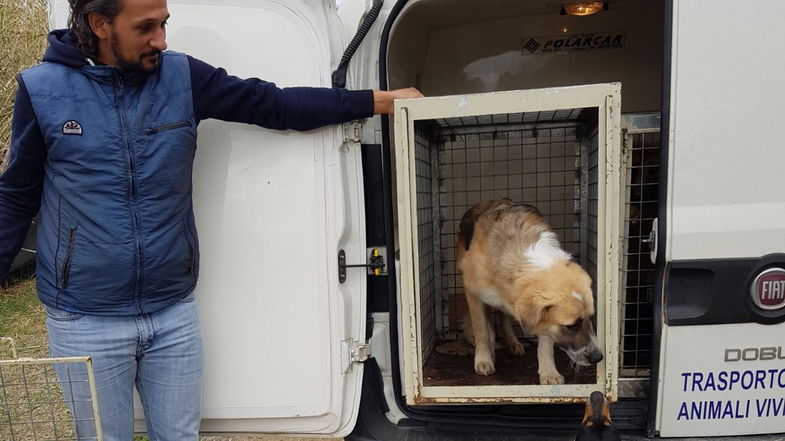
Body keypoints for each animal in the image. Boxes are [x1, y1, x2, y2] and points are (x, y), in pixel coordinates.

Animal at [456, 198, 604, 384]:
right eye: (572, 326)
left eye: (591, 318)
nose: (598, 358)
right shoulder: (473, 293)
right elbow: (482, 330)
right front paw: (484, 359)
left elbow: (545, 345)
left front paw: (549, 372)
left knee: (505, 317)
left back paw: (513, 342)